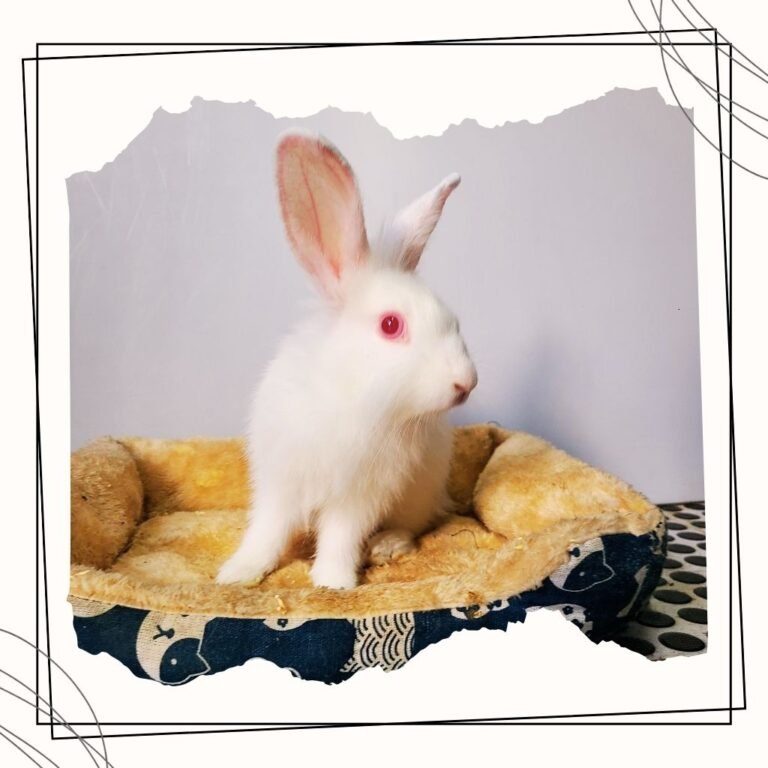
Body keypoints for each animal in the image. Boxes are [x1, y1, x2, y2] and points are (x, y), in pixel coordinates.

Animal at [216, 129, 477, 590]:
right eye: (390, 324)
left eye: (453, 319)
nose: (466, 382)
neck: (349, 391)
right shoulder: (280, 480)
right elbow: (267, 530)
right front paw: (238, 572)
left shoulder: (359, 494)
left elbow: (340, 534)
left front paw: (332, 581)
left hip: (418, 494)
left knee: (412, 524)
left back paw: (387, 545)